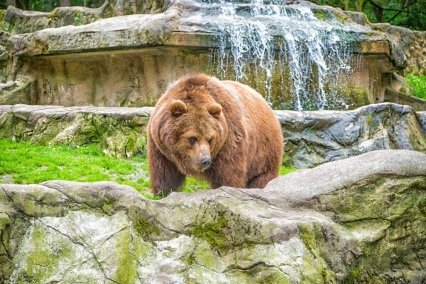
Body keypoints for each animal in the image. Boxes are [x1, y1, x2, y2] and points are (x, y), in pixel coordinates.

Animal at [147, 74, 282, 196]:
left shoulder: (228, 137)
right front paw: (162, 193)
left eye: (210, 139)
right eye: (192, 138)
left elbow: (229, 173)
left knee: (262, 176)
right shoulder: (160, 146)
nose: (205, 160)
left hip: (264, 151)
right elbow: (164, 174)